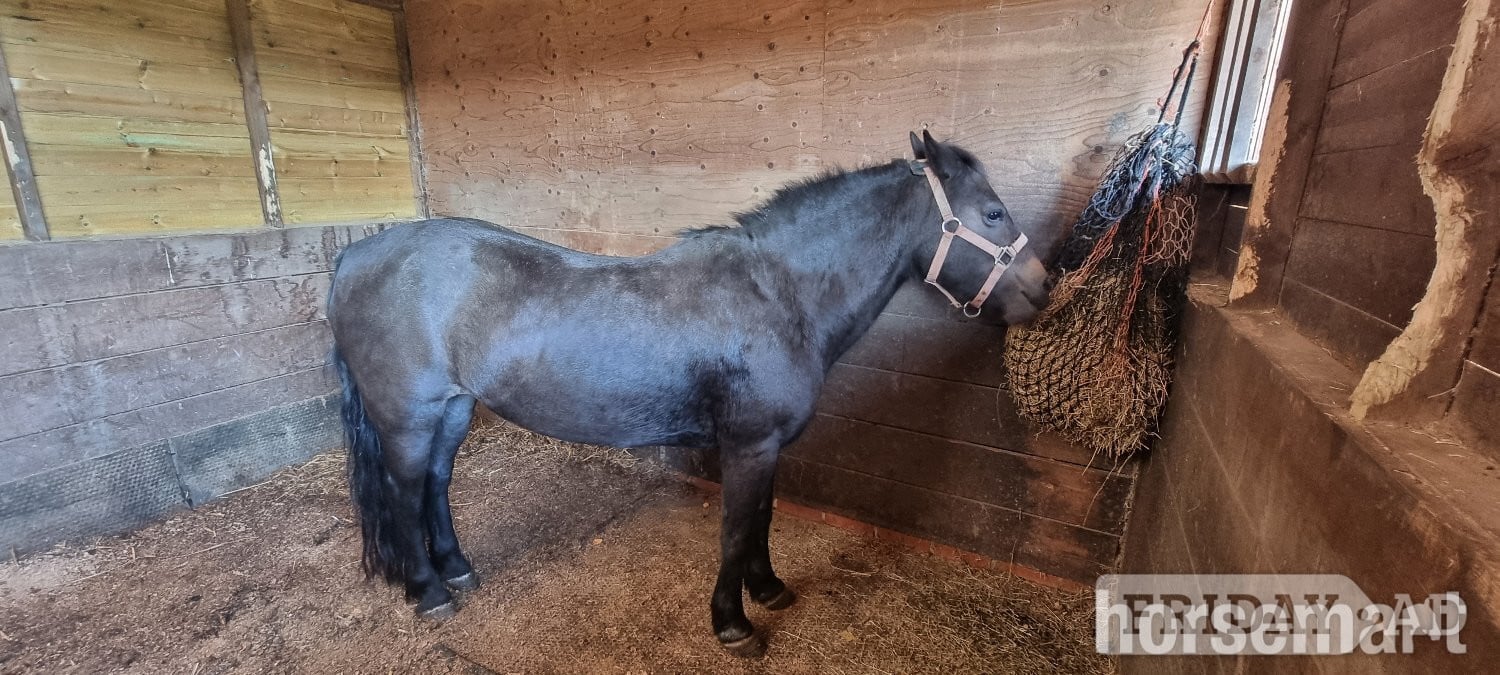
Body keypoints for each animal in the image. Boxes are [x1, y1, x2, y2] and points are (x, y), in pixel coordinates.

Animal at [327, 131, 1051, 657]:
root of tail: (355, 256)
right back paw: (428, 591)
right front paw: (734, 624)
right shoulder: (748, 445)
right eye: (992, 212)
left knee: (436, 485)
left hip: (452, 410)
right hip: (406, 416)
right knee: (401, 494)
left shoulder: (768, 446)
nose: (1045, 286)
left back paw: (456, 568)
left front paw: (770, 589)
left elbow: (762, 520)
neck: (778, 294)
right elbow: (734, 529)